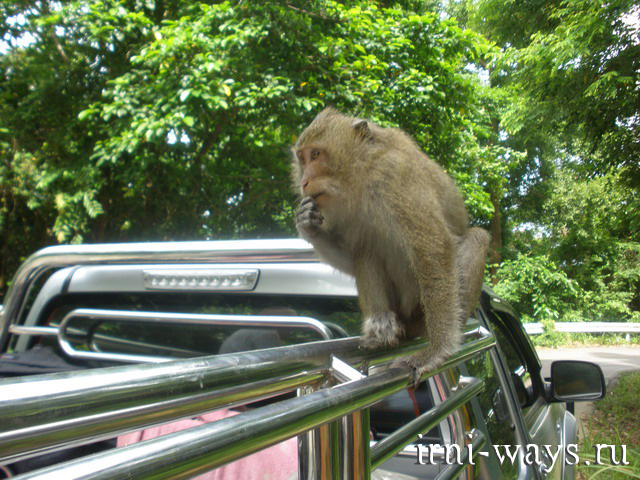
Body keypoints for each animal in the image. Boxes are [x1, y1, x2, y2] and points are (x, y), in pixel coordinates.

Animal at [292, 107, 490, 384]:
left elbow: (434, 248)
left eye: (316, 155)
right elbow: (352, 256)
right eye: (302, 158)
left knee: (477, 237)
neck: (363, 173)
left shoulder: (396, 175)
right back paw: (381, 327)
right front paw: (308, 224)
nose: (304, 182)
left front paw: (438, 350)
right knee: (367, 246)